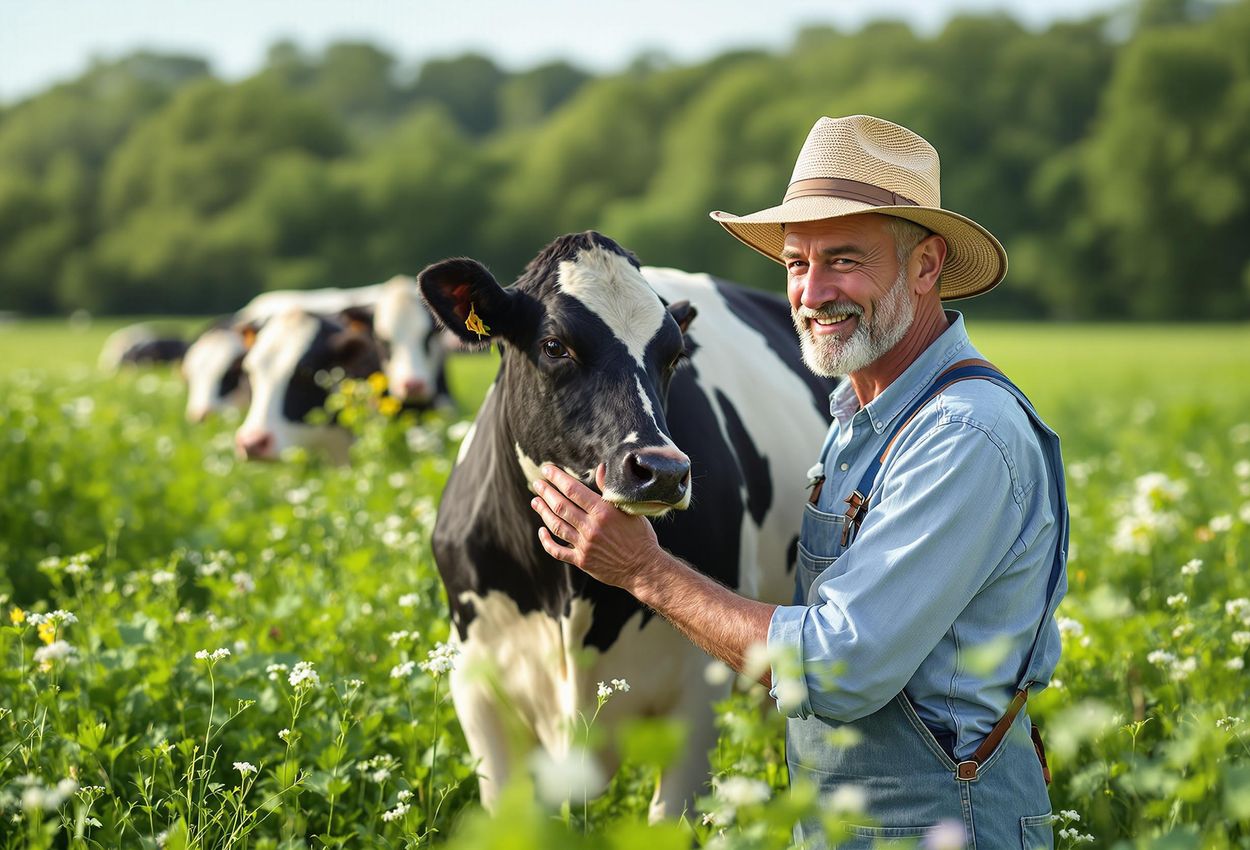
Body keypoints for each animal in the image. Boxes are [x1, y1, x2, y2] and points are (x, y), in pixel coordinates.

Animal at [418, 231, 835, 819]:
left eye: (673, 356)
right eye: (554, 346)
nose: (662, 470)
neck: (569, 599)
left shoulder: (697, 692)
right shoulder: (478, 689)